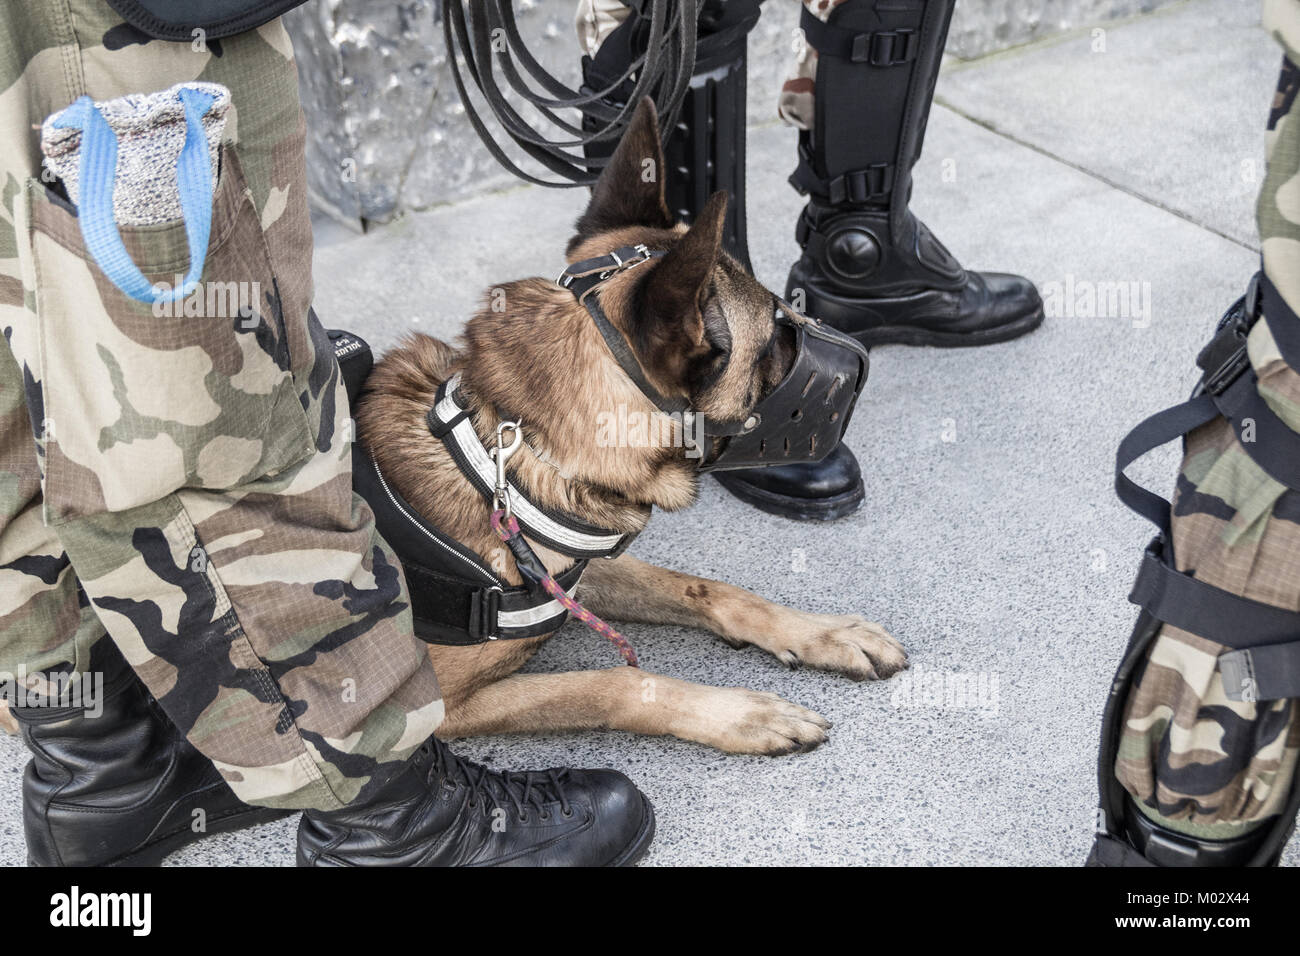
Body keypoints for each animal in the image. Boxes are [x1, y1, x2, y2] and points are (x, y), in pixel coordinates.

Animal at [356, 97, 904, 754]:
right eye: (776, 339)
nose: (865, 363)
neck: (508, 460)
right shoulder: (428, 711)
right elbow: (614, 683)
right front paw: (741, 712)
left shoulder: (579, 573)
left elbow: (706, 586)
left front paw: (821, 632)